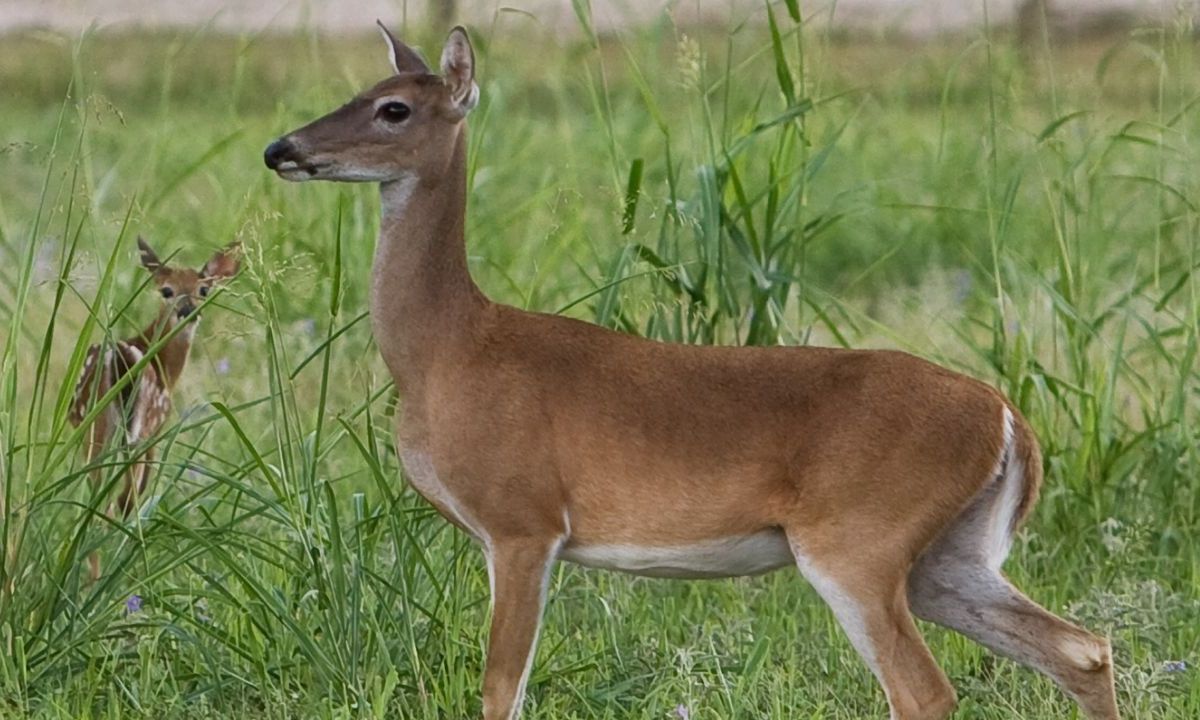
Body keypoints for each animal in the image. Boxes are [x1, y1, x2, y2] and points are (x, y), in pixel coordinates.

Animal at [70, 236, 241, 578]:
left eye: (203, 289)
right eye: (167, 290)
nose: (187, 310)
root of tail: (118, 357)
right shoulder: (156, 429)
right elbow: (136, 492)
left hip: (93, 428)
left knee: (96, 500)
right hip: (135, 430)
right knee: (120, 499)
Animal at [265, 23, 1123, 720]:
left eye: (394, 110)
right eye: (356, 91)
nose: (282, 149)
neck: (448, 350)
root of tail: (1008, 418)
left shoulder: (523, 520)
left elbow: (501, 689)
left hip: (860, 539)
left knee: (926, 690)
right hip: (946, 555)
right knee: (1081, 648)